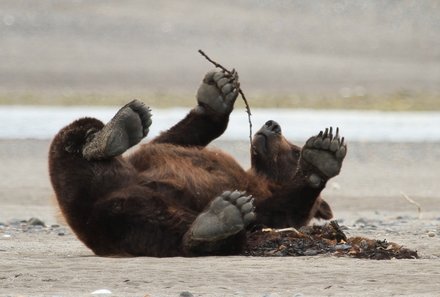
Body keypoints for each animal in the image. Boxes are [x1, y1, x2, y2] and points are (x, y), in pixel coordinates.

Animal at [47, 70, 344, 256]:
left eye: (295, 151)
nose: (273, 125)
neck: (260, 176)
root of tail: (88, 212)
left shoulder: (269, 206)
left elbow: (278, 208)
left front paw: (322, 155)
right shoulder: (158, 153)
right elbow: (172, 140)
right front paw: (217, 93)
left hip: (134, 222)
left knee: (169, 233)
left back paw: (217, 220)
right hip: (94, 183)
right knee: (77, 133)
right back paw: (117, 130)